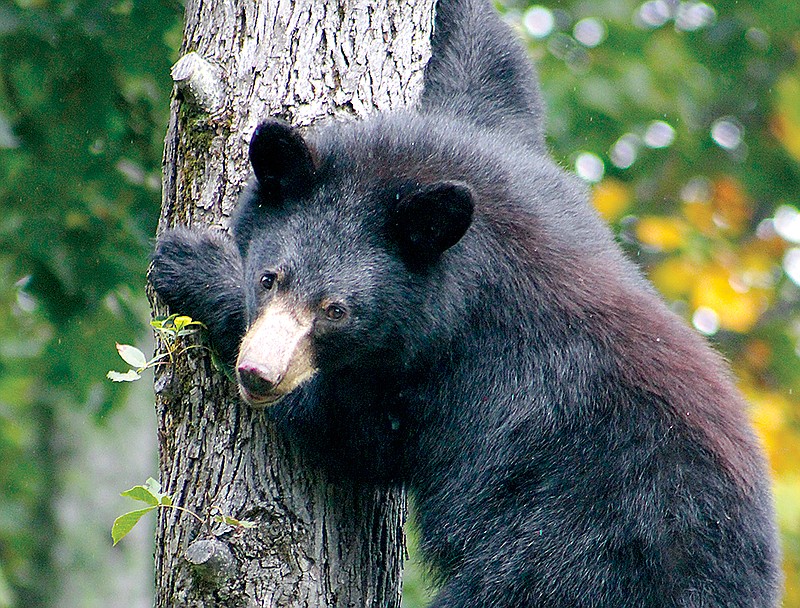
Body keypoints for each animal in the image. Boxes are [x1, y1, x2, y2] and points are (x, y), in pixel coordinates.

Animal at [150, 0, 780, 604]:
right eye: (270, 278)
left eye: (337, 311)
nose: (259, 375)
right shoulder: (517, 164)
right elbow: (494, 69)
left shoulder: (447, 380)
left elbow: (349, 430)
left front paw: (192, 266)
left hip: (562, 554)